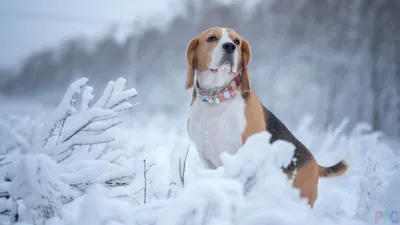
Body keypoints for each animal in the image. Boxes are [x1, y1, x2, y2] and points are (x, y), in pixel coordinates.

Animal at [186, 27, 348, 208]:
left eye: (237, 42)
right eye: (212, 38)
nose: (230, 47)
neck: (217, 98)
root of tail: (314, 162)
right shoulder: (205, 156)